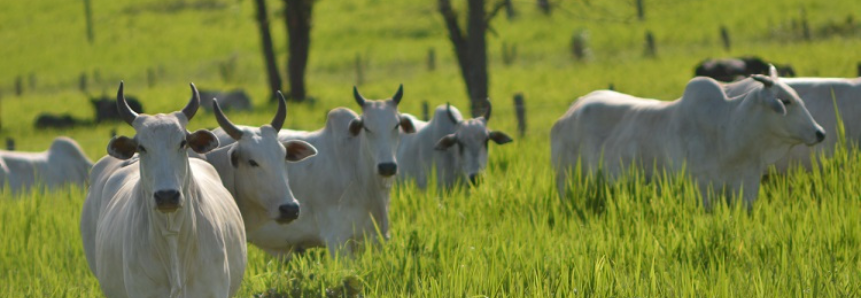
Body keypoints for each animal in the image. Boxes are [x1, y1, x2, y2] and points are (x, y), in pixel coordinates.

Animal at [552, 70, 828, 210]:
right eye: (786, 101)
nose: (820, 133)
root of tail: (571, 111)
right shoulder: (702, 189)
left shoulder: (747, 187)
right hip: (567, 182)